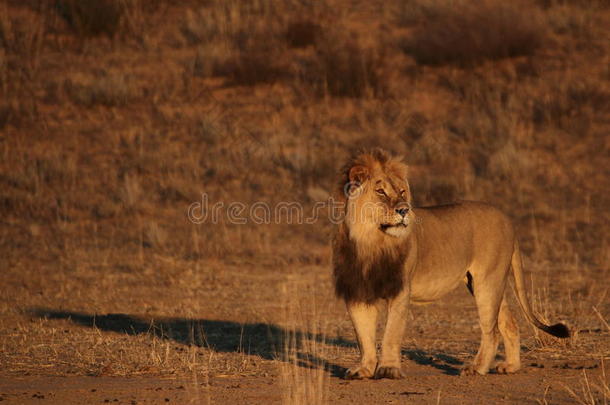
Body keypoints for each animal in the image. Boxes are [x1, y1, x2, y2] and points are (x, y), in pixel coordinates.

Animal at [330, 148, 568, 378]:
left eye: (402, 192)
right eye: (380, 191)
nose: (404, 210)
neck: (370, 241)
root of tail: (507, 219)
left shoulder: (400, 289)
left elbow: (391, 333)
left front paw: (388, 370)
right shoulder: (357, 291)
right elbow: (364, 337)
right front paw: (364, 369)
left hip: (487, 283)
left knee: (491, 331)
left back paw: (476, 368)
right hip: (486, 283)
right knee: (509, 323)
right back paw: (510, 366)